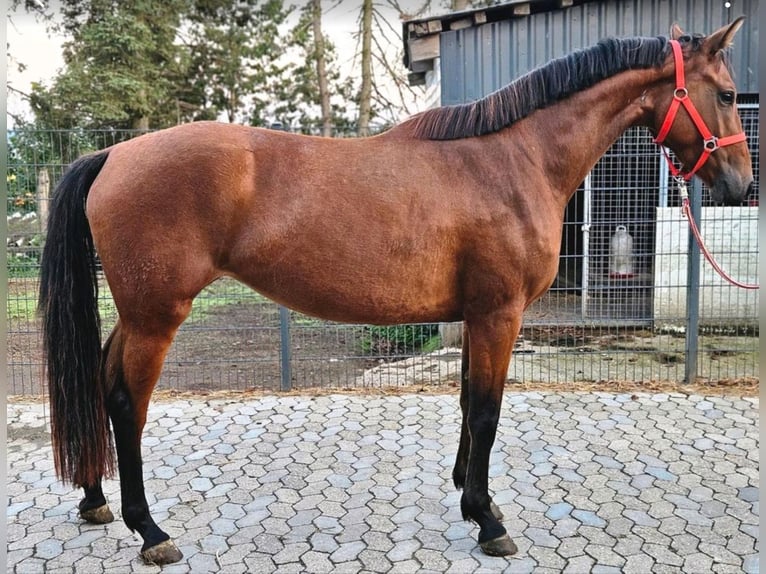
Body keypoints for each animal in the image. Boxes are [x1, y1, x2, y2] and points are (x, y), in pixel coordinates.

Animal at [39, 18, 752, 564]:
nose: (741, 186)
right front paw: (488, 522)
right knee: (126, 402)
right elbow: (486, 411)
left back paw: (95, 501)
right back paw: (150, 531)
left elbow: (468, 402)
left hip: (137, 313)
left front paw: (473, 496)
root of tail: (114, 154)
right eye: (725, 93)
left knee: (100, 382)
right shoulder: (499, 314)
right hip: (158, 315)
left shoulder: (476, 316)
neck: (514, 160)